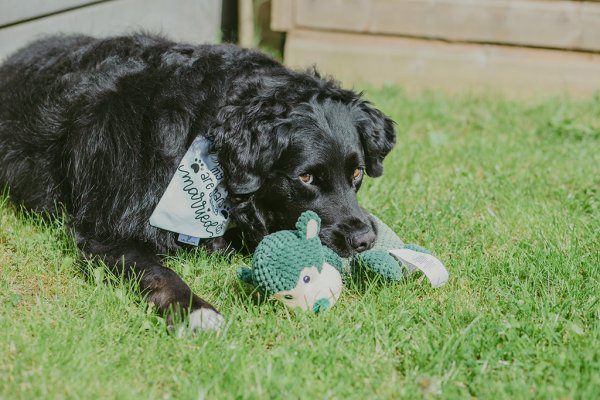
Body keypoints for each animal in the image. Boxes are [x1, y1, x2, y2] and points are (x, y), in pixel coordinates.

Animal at [0, 33, 394, 332]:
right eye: (306, 177)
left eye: (356, 174)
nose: (364, 239)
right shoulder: (104, 231)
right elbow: (155, 269)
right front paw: (193, 310)